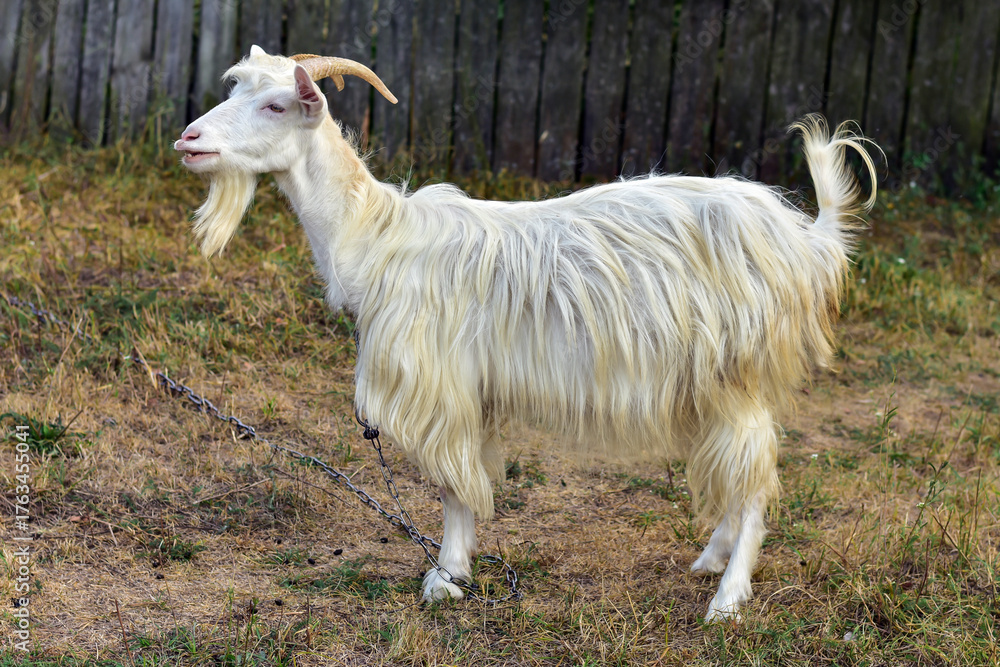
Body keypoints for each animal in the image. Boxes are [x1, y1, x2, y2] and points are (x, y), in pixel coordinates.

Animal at [175, 45, 877, 622]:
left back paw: (727, 602)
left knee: (756, 480)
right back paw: (711, 560)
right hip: (715, 380)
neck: (374, 238)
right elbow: (462, 480)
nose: (189, 138)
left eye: (276, 103)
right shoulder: (474, 386)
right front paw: (455, 572)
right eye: (234, 88)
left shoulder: (442, 385)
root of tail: (802, 239)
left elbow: (453, 485)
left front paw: (444, 579)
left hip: (736, 368)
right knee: (741, 470)